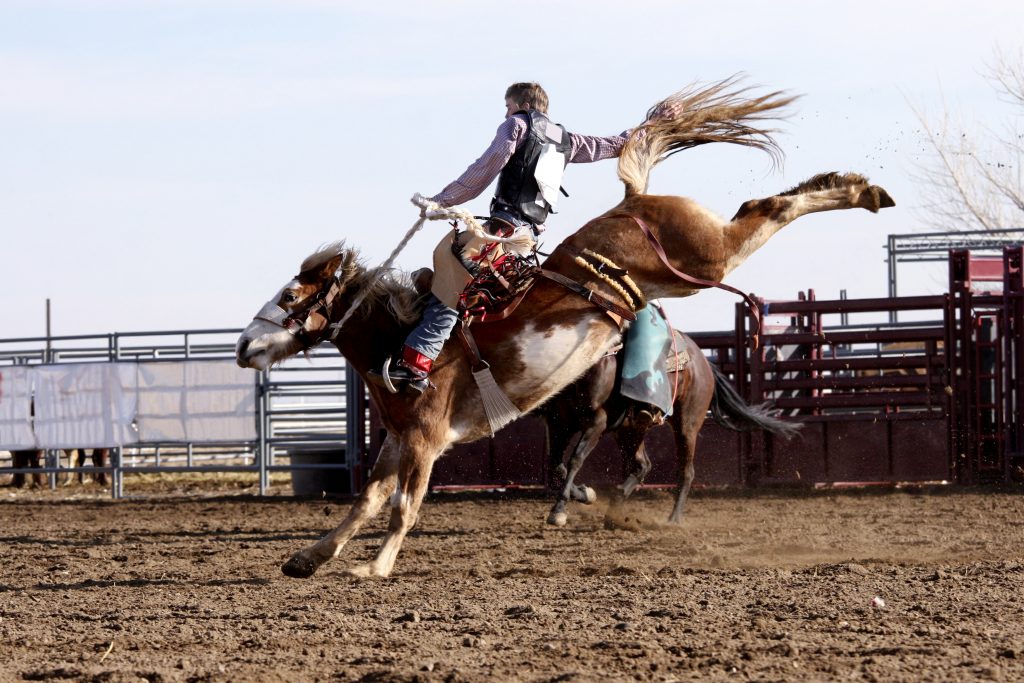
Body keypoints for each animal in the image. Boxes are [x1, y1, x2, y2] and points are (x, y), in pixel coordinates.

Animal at [536, 331, 798, 528]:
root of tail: (704, 362)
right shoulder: (558, 422)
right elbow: (556, 464)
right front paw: (585, 494)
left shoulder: (596, 421)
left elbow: (575, 460)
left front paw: (559, 510)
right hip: (630, 429)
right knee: (643, 465)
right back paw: (615, 509)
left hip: (687, 425)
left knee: (686, 472)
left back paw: (673, 519)